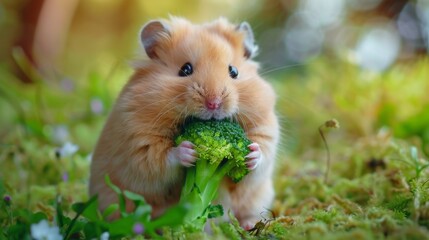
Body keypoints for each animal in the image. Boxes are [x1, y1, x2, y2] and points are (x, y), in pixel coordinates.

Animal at [88, 16, 280, 229]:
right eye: (185, 69)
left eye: (234, 71)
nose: (214, 103)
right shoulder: (137, 143)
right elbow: (159, 159)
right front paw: (188, 151)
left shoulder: (266, 128)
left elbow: (262, 155)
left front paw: (251, 153)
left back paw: (249, 224)